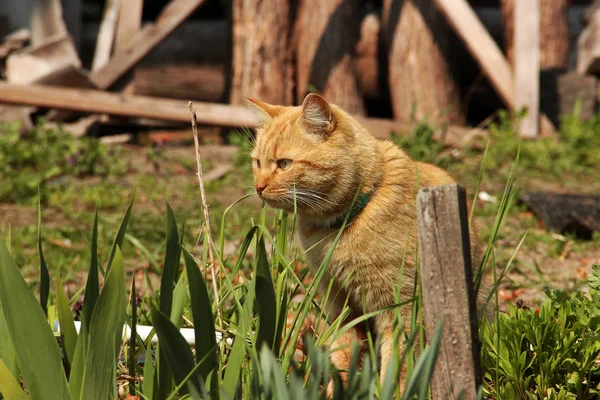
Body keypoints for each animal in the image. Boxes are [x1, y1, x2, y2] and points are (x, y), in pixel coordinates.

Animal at [246, 93, 480, 390]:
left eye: (284, 164)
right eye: (257, 163)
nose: (258, 187)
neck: (339, 229)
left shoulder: (400, 307)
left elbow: (398, 367)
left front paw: (392, 392)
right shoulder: (339, 303)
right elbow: (343, 356)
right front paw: (337, 391)